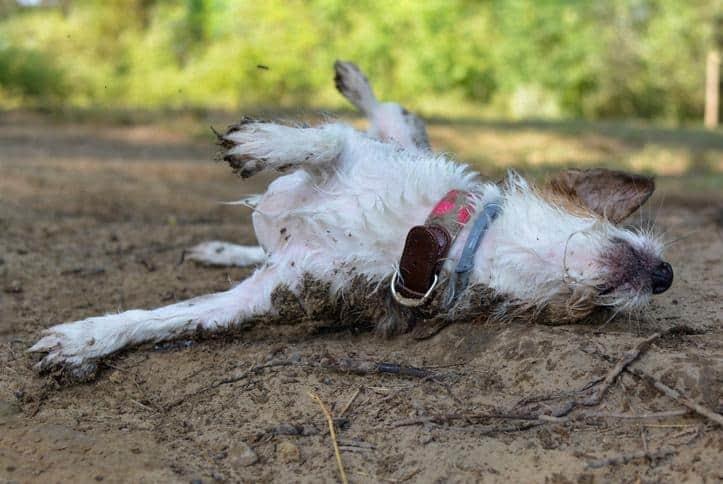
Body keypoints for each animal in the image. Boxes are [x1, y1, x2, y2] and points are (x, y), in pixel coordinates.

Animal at [28, 60, 672, 380]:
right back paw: (353, 79)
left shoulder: (264, 296)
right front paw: (262, 143)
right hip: (393, 136)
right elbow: (325, 138)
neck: (440, 238)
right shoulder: (355, 155)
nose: (665, 275)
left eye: (593, 313)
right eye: (613, 224)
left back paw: (222, 249)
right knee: (386, 112)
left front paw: (86, 340)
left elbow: (175, 317)